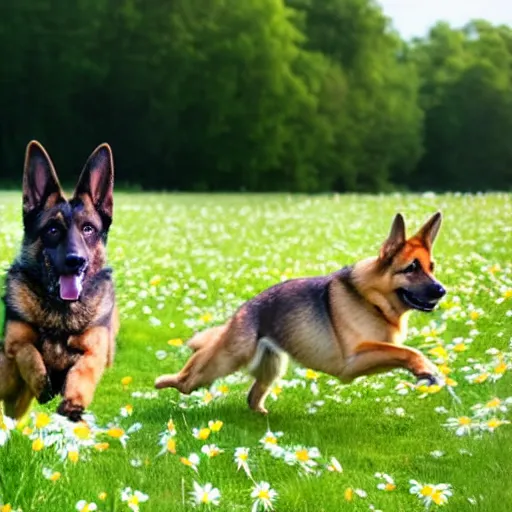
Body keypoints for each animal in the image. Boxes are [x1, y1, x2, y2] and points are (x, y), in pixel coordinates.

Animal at [0, 140, 117, 420]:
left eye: (88, 229)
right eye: (52, 229)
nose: (76, 261)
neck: (61, 313)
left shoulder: (95, 350)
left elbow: (82, 370)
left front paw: (73, 401)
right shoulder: (15, 343)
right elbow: (30, 353)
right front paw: (44, 384)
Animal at [155, 210, 444, 414]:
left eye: (431, 267)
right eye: (411, 268)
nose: (442, 291)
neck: (371, 299)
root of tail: (244, 309)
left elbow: (401, 351)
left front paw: (427, 372)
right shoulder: (354, 359)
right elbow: (407, 351)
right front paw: (425, 367)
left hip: (272, 366)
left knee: (251, 398)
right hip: (225, 360)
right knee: (188, 378)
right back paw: (163, 381)